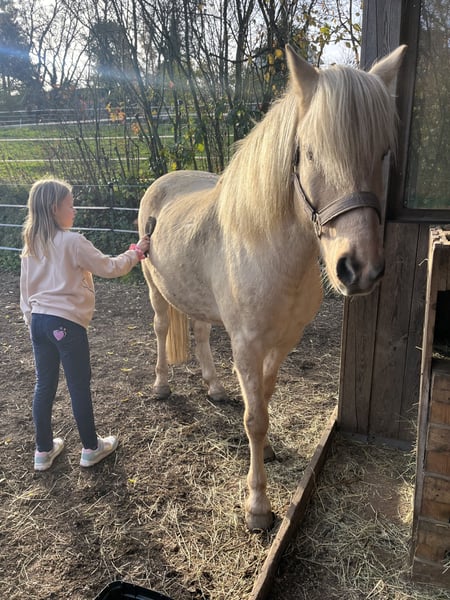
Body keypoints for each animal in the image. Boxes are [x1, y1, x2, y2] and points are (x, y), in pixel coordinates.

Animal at [138, 44, 407, 531]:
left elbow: (264, 398)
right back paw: (162, 386)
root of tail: (163, 183)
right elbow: (254, 419)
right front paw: (258, 506)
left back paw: (215, 388)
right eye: (312, 154)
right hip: (155, 290)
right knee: (162, 329)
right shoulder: (246, 344)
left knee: (200, 334)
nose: (359, 269)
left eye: (383, 153)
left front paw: (270, 453)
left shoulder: (283, 342)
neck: (272, 254)